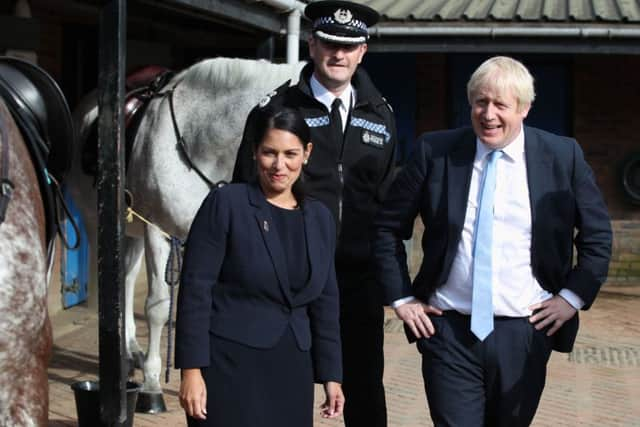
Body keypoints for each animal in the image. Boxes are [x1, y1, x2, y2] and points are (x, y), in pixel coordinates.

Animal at [70, 57, 304, 408]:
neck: (197, 141)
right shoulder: (158, 232)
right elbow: (157, 307)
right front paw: (152, 386)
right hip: (99, 222)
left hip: (131, 229)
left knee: (126, 278)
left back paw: (130, 352)